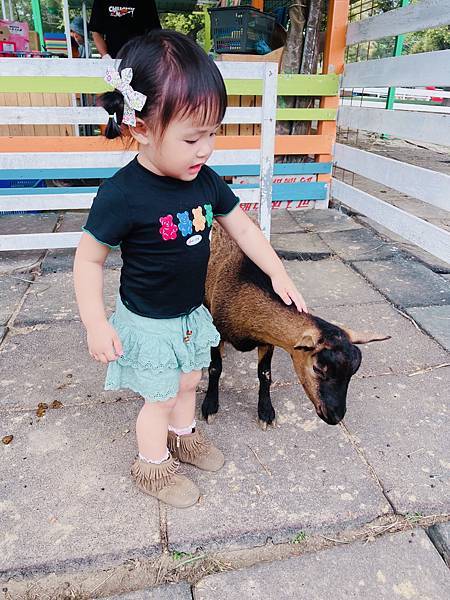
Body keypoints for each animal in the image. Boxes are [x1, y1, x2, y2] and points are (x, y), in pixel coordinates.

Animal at [202, 223, 388, 428]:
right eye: (317, 369)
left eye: (353, 372)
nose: (335, 416)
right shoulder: (217, 332)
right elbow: (215, 368)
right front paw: (210, 407)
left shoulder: (267, 340)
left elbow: (265, 374)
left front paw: (266, 412)